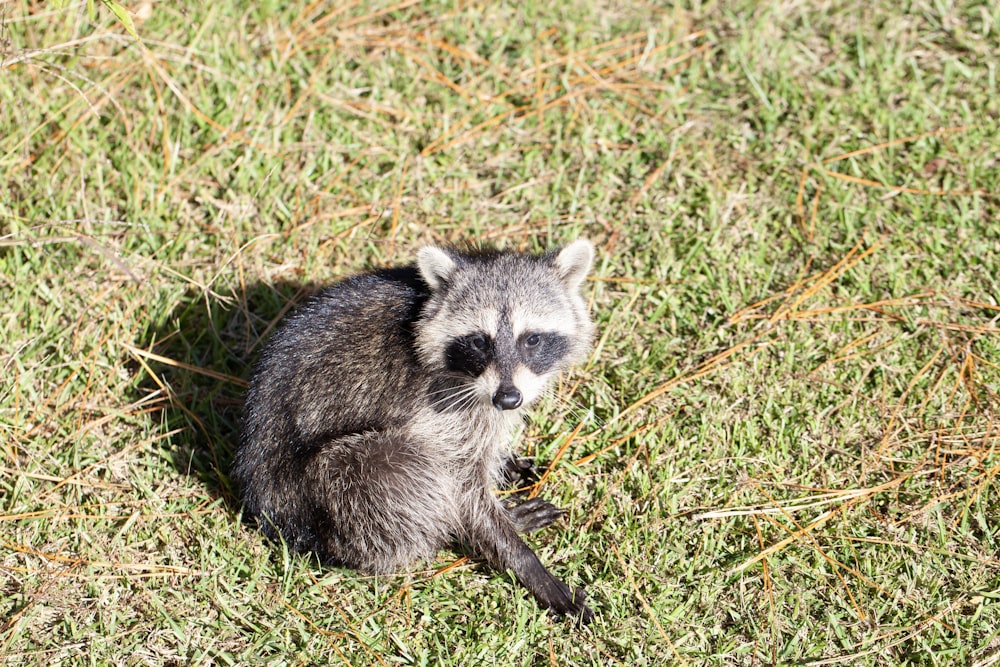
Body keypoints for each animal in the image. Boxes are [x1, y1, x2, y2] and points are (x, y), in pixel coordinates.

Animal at [232, 239, 592, 620]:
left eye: (532, 339)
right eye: (480, 342)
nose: (508, 398)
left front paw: (504, 464)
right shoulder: (440, 406)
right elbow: (460, 487)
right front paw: (525, 561)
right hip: (323, 488)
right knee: (400, 474)